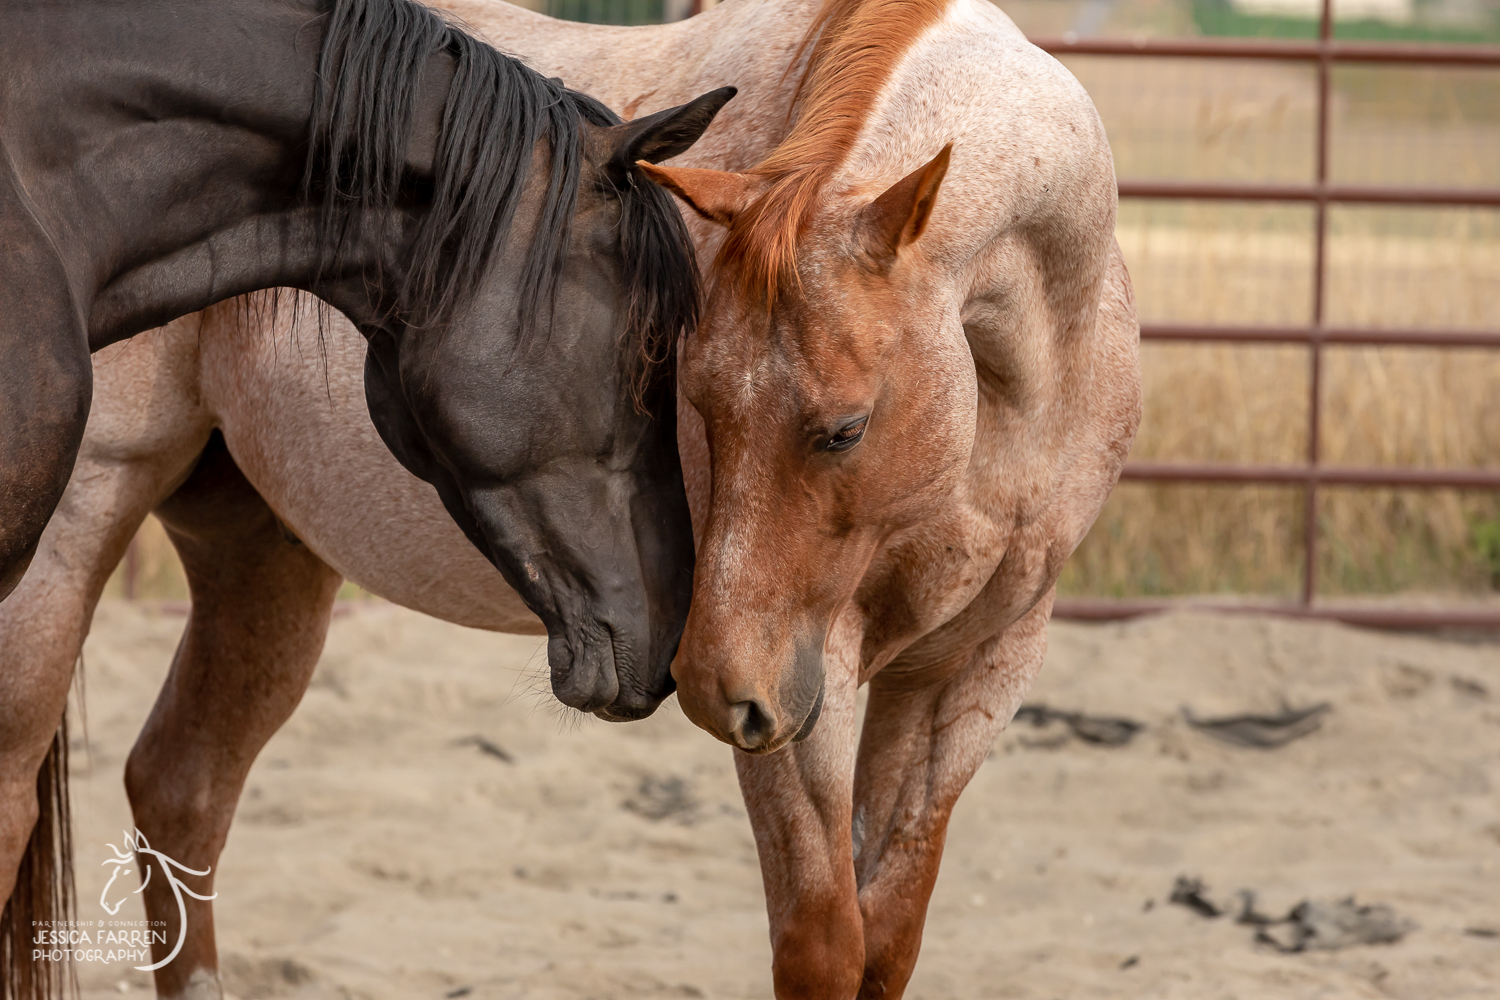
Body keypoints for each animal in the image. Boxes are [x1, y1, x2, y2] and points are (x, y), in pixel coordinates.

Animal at [0, 0, 1134, 995]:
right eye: (691, 397)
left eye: (844, 430)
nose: (711, 686)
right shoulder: (815, 680)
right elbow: (822, 949)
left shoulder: (971, 671)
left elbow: (885, 946)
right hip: (67, 548)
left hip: (267, 560)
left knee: (180, 789)